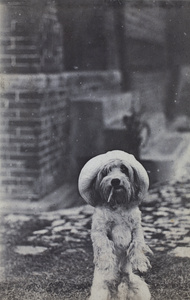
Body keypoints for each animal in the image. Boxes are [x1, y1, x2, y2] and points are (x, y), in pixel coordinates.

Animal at [78, 151, 152, 298]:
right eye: (106, 171)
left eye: (124, 168)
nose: (115, 180)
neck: (118, 203)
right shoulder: (99, 230)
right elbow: (104, 245)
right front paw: (106, 264)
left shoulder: (136, 228)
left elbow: (138, 243)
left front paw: (140, 263)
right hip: (102, 292)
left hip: (138, 289)